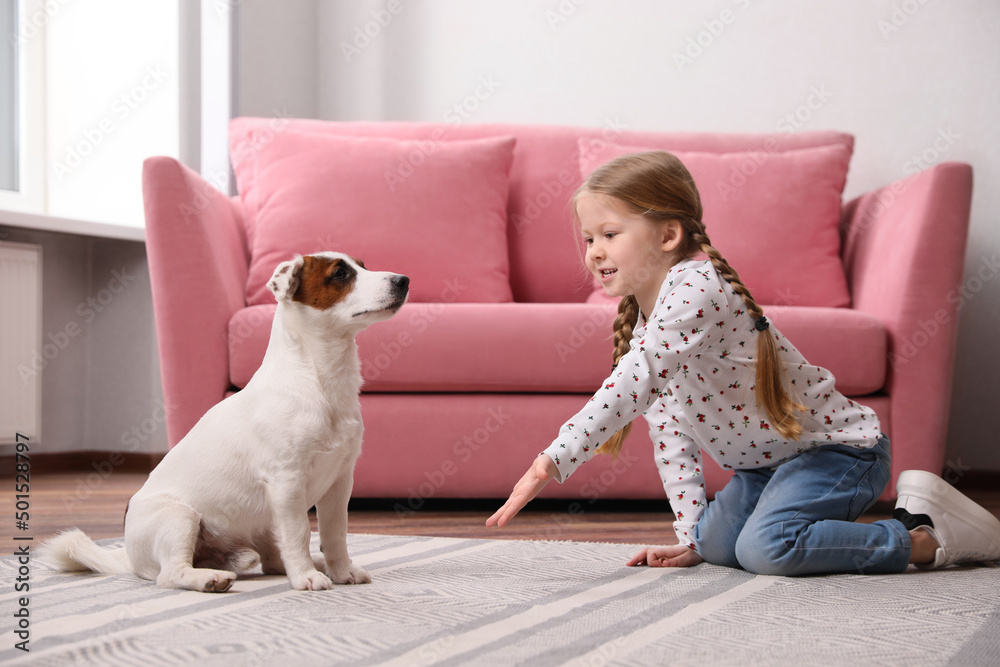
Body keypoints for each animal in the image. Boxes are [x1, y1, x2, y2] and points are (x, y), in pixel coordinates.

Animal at [39, 253, 406, 592]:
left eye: (363, 265)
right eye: (340, 274)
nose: (403, 280)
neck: (321, 382)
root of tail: (128, 555)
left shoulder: (340, 481)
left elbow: (335, 533)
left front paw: (341, 571)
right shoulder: (287, 481)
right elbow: (299, 532)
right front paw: (305, 577)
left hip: (257, 528)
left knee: (272, 560)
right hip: (180, 518)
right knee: (170, 574)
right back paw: (210, 579)